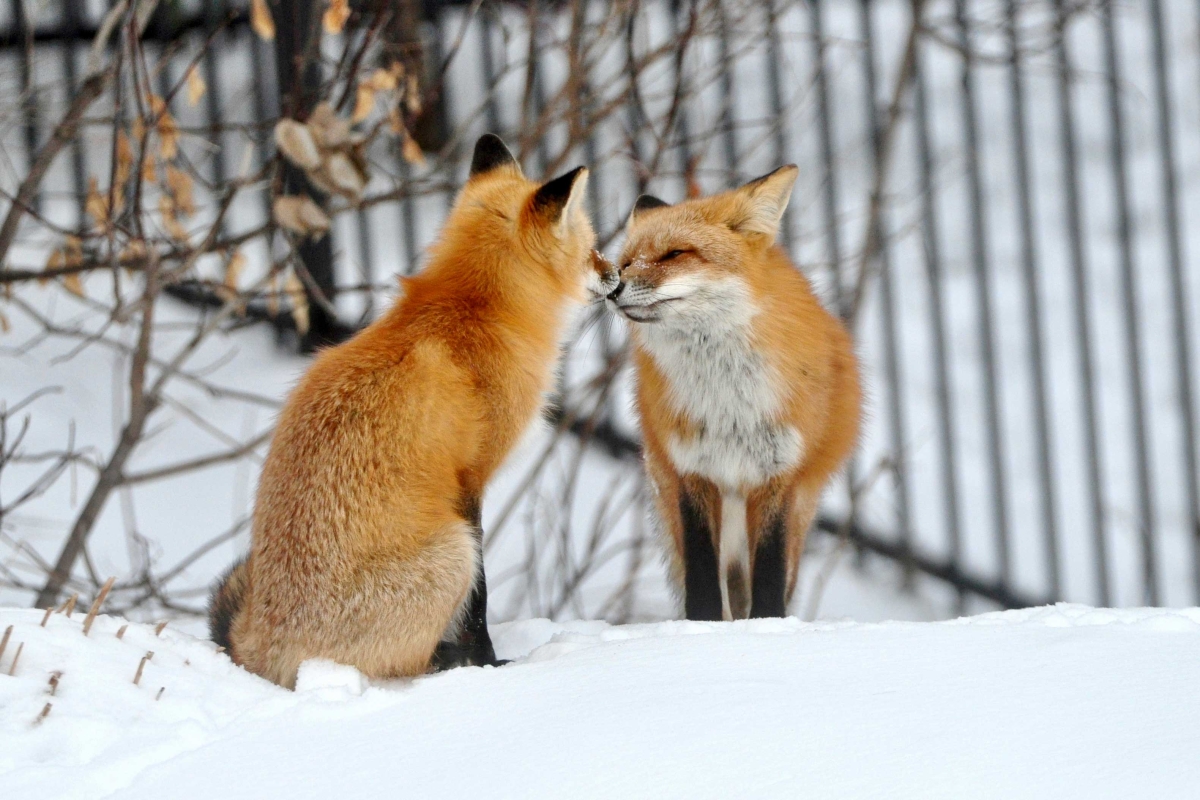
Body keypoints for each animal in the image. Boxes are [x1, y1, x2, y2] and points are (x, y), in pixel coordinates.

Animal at [208, 137, 600, 690]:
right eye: (591, 247)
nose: (614, 274)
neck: (474, 311)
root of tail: (256, 649)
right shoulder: (470, 481)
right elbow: (480, 603)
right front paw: (487, 663)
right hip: (453, 552)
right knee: (408, 660)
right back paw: (447, 660)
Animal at [604, 165, 859, 623]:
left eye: (675, 254)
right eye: (627, 262)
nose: (613, 289)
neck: (728, 404)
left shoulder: (779, 476)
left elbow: (770, 579)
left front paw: (767, 626)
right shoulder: (691, 472)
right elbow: (703, 580)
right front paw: (703, 628)